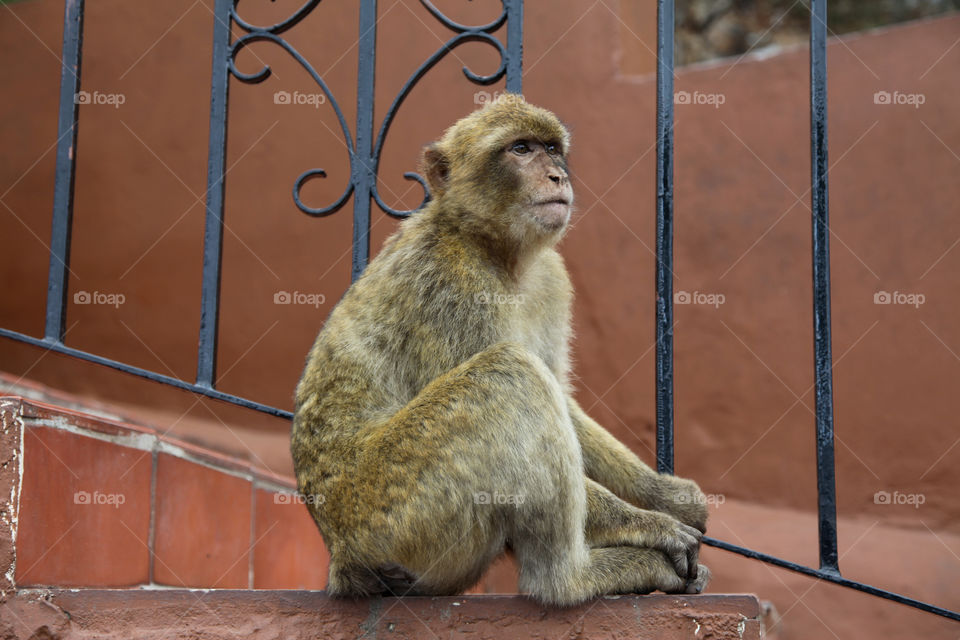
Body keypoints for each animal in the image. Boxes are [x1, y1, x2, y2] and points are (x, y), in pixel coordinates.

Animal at [288, 95, 708, 604]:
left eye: (551, 148)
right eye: (521, 149)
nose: (557, 175)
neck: (496, 250)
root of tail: (342, 557)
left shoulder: (551, 278)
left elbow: (562, 399)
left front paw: (665, 495)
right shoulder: (453, 288)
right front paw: (650, 524)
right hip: (394, 512)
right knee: (509, 374)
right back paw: (570, 579)